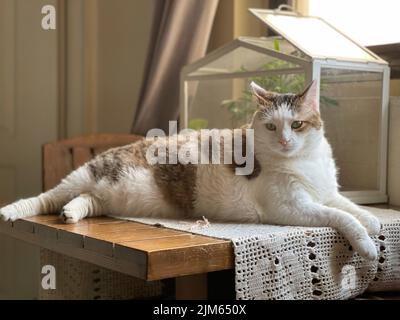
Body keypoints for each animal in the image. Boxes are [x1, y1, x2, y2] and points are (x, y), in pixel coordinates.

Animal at [0, 80, 380, 260]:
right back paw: (11, 211)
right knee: (43, 198)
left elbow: (349, 206)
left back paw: (71, 213)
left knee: (83, 200)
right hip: (82, 176)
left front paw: (373, 221)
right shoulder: (293, 208)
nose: (285, 140)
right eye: (272, 127)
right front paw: (366, 244)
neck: (304, 162)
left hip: (104, 197)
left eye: (297, 124)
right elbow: (340, 217)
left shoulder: (326, 192)